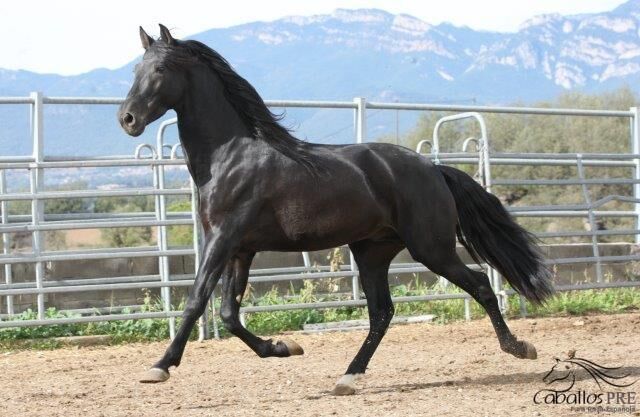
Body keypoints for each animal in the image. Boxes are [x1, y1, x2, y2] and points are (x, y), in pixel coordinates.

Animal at [117, 24, 552, 394]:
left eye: (158, 69)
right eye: (136, 68)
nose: (127, 119)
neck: (231, 157)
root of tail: (434, 169)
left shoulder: (222, 240)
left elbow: (196, 301)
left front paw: (159, 366)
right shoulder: (240, 248)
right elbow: (228, 312)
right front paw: (284, 348)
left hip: (431, 248)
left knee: (479, 285)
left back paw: (519, 348)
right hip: (373, 251)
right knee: (382, 312)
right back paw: (349, 377)